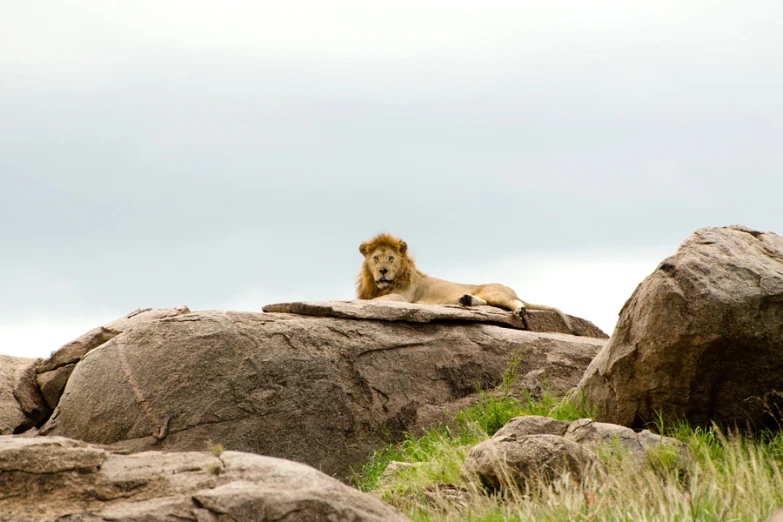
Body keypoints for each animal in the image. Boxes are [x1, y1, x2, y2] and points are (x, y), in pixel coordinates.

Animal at [356, 232, 576, 334]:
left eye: (391, 258)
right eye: (376, 258)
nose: (383, 271)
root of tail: (512, 290)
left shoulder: (404, 298)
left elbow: (377, 301)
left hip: (494, 292)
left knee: (510, 302)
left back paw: (519, 310)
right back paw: (466, 300)